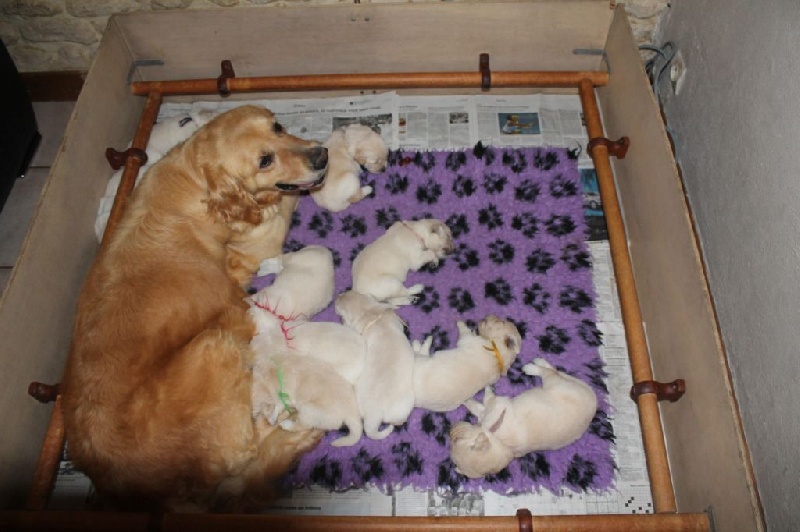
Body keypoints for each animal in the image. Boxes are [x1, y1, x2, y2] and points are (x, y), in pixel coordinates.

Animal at [58, 105, 328, 512]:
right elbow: (284, 201)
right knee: (251, 455)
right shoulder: (261, 239)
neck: (196, 180)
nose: (322, 155)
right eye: (264, 160)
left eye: (278, 126)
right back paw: (297, 430)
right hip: (214, 346)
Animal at [446, 358, 596, 478]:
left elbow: (487, 400)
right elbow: (480, 409)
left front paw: (481, 392)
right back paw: (539, 363)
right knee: (554, 371)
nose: (451, 428)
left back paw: (532, 367)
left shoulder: (495, 407)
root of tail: (593, 398)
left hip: (557, 385)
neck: (499, 440)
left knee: (550, 372)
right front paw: (469, 401)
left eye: (457, 440)